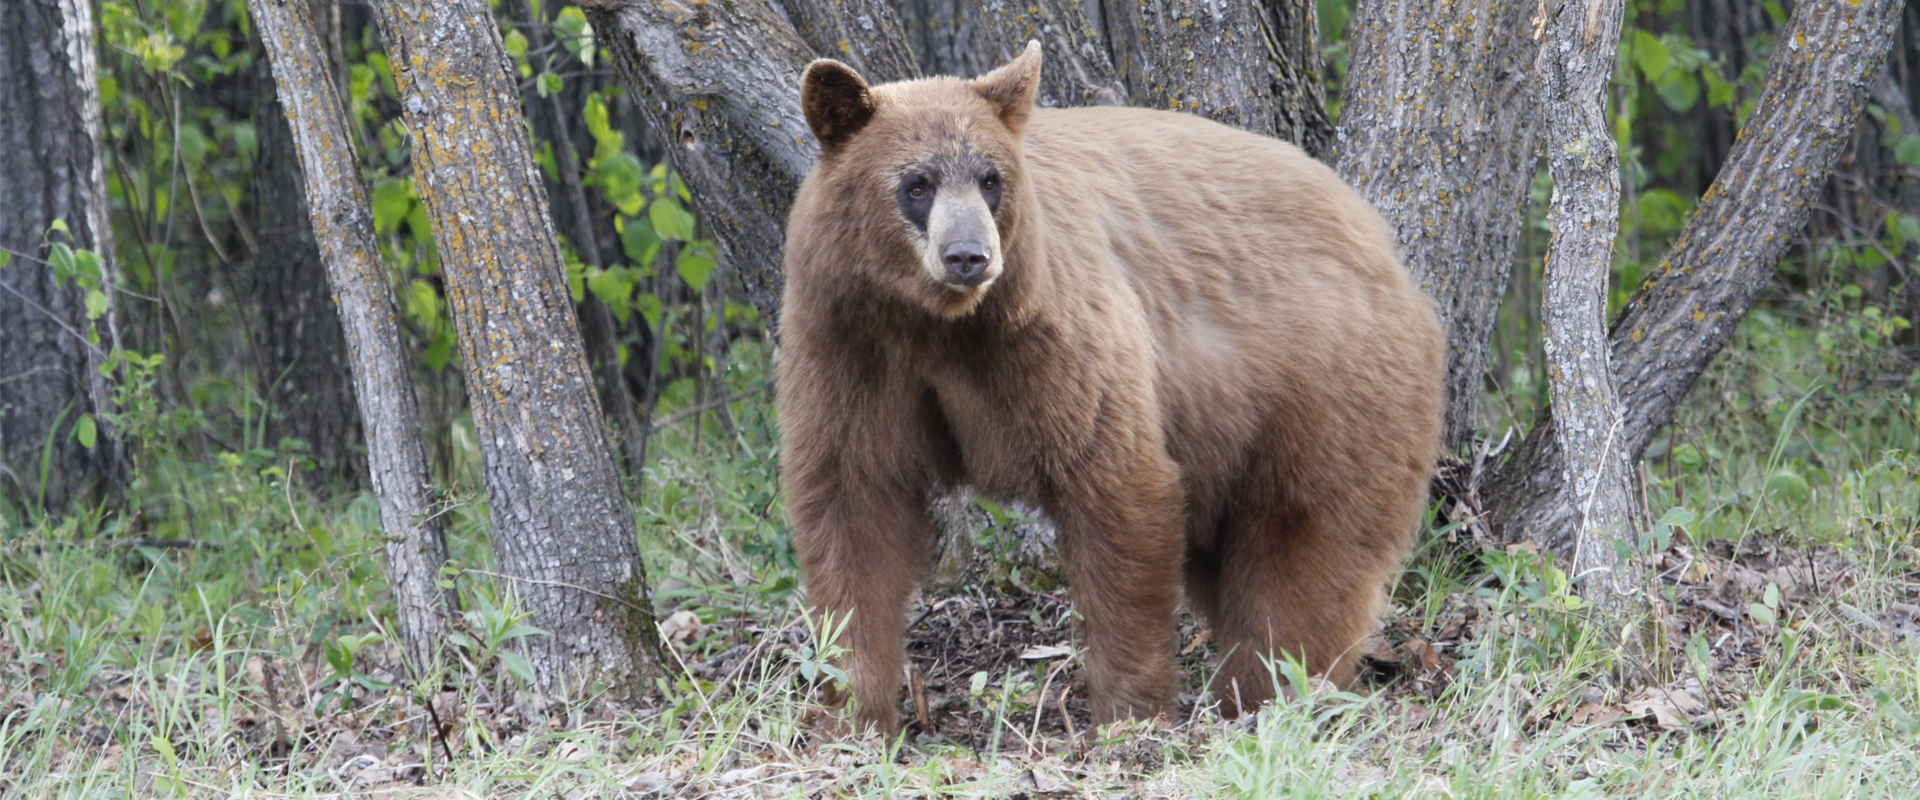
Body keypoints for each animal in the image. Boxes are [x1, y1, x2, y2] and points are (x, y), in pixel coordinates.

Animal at [777, 41, 1444, 734]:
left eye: (990, 179)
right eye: (917, 184)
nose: (969, 255)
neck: (938, 324)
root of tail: (1380, 241)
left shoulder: (1053, 332)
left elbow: (1116, 484)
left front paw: (1130, 713)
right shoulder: (848, 345)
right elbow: (853, 502)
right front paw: (851, 707)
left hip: (1326, 387)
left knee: (1306, 546)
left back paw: (1275, 690)